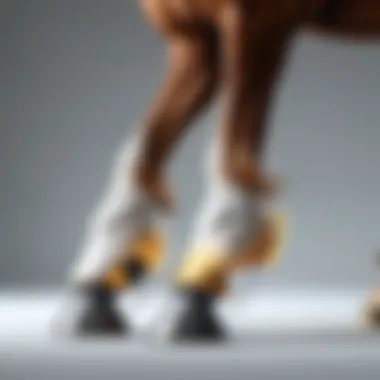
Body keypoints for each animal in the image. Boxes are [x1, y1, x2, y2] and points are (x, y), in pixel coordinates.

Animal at [61, 0, 380, 338]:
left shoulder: (258, 21)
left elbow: (231, 150)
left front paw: (203, 276)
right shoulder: (191, 40)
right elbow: (146, 150)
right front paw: (102, 277)